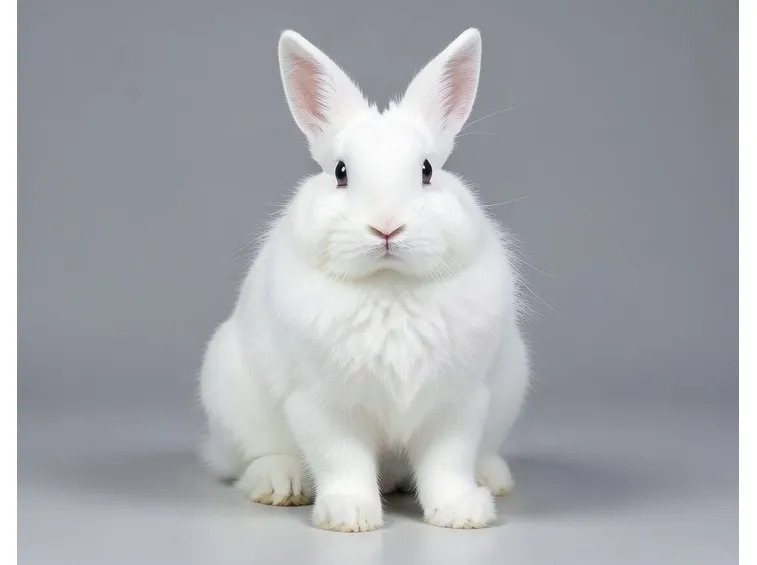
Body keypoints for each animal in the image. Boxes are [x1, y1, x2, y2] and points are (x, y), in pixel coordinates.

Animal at [198, 27, 530, 532]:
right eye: (340, 173)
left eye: (427, 170)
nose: (386, 227)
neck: (388, 286)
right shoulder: (322, 405)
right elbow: (343, 461)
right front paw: (350, 517)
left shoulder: (457, 402)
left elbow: (446, 461)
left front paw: (460, 513)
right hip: (232, 391)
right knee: (254, 457)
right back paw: (280, 483)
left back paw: (491, 478)